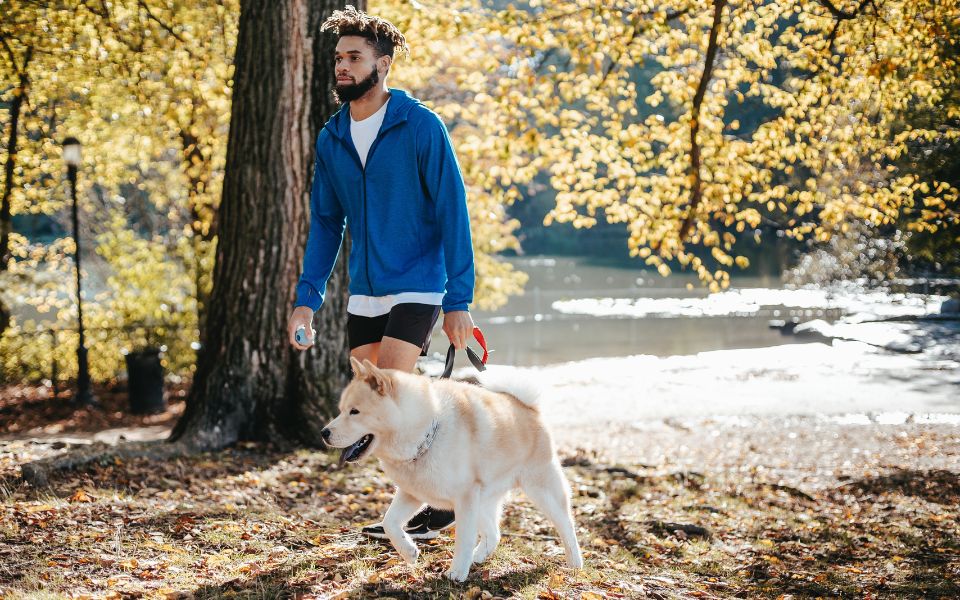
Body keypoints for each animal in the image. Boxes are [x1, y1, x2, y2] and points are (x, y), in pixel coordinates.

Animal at [322, 358, 580, 584]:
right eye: (341, 410)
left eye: (354, 412)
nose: (324, 433)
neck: (425, 433)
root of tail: (527, 407)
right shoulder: (412, 493)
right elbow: (389, 523)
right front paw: (409, 552)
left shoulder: (464, 497)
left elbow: (463, 538)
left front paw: (457, 572)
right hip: (483, 500)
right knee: (494, 534)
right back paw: (478, 557)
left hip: (542, 490)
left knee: (567, 525)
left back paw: (575, 563)